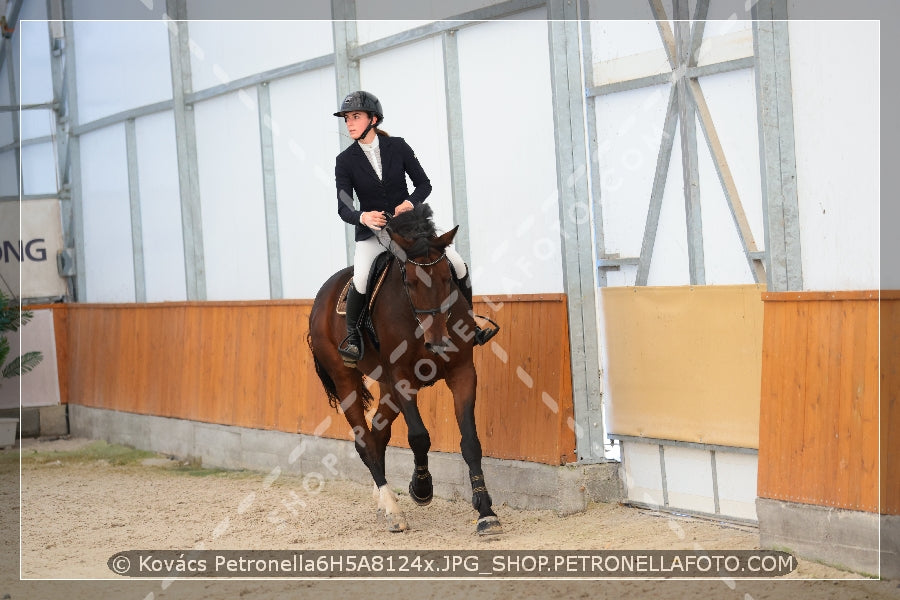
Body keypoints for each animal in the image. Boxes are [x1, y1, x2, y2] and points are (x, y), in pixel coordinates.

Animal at [310, 206, 502, 536]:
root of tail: (324, 293)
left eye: (447, 280)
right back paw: (392, 510)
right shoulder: (402, 378)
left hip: (386, 387)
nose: (436, 343)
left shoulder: (463, 372)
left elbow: (470, 442)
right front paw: (421, 489)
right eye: (410, 283)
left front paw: (486, 513)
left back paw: (382, 503)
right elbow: (419, 437)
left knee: (378, 435)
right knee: (364, 442)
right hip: (346, 380)